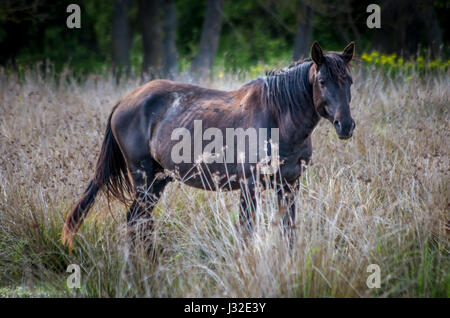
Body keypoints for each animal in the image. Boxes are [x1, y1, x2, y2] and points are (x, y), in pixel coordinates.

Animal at [62, 41, 356, 251]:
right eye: (322, 82)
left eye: (350, 82)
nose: (346, 125)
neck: (278, 119)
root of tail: (125, 100)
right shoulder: (250, 186)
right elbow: (247, 232)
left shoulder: (289, 185)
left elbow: (288, 232)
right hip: (143, 178)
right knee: (138, 220)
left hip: (158, 180)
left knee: (137, 220)